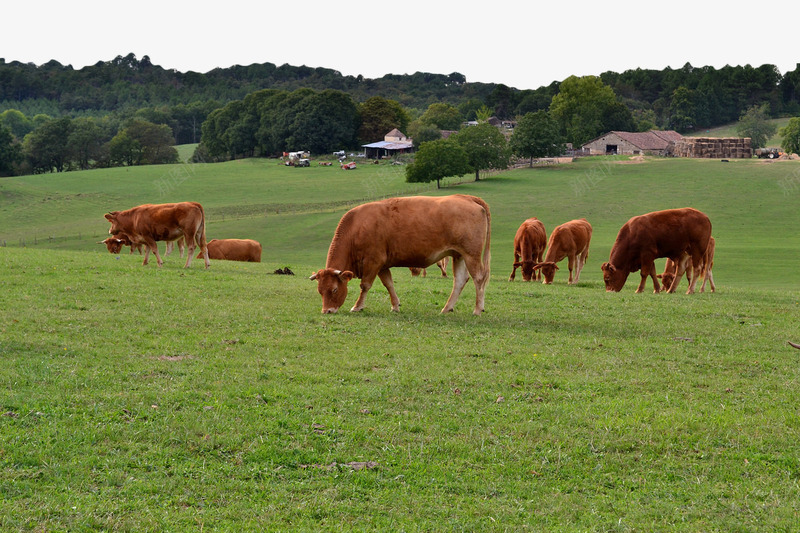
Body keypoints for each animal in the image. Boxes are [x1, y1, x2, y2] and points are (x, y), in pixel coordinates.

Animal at [310, 194, 490, 312]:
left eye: (334, 290)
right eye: (320, 290)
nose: (327, 311)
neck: (357, 228)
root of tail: (466, 197)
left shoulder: (373, 261)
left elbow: (365, 285)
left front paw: (357, 306)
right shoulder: (382, 265)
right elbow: (389, 284)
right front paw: (395, 305)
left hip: (471, 255)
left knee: (479, 279)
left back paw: (477, 309)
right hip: (458, 255)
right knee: (460, 280)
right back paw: (447, 308)